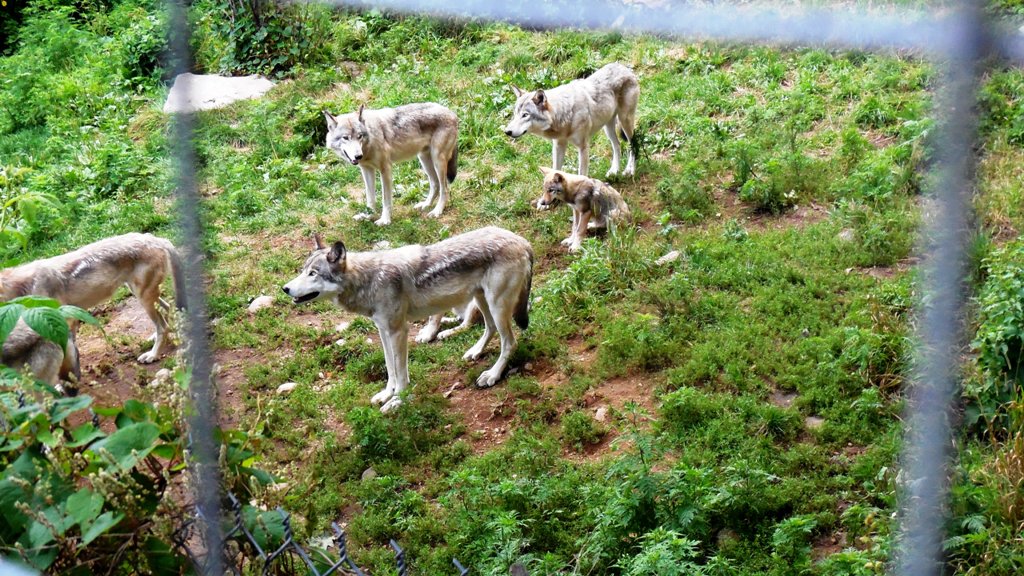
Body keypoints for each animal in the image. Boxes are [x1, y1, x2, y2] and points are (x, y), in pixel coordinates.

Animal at [0, 233, 187, 364]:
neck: (24, 287)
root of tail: (157, 238)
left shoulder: (66, 322)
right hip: (140, 294)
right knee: (168, 311)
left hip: (144, 298)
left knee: (163, 326)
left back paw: (153, 355)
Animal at [283, 227, 532, 413]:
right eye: (303, 270)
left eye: (313, 274)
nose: (285, 288)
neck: (369, 279)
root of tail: (522, 240)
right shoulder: (383, 331)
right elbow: (390, 368)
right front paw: (387, 394)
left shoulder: (398, 331)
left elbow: (401, 373)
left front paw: (398, 401)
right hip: (482, 301)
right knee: (489, 329)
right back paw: (475, 352)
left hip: (496, 306)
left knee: (510, 342)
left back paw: (492, 375)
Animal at [324, 103, 459, 226]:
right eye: (345, 138)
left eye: (359, 136)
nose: (358, 156)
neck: (370, 142)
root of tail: (452, 113)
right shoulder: (367, 170)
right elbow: (370, 197)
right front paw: (368, 216)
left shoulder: (386, 169)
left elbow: (385, 199)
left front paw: (385, 220)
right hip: (424, 160)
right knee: (435, 184)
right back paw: (426, 205)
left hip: (438, 161)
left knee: (445, 188)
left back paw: (437, 211)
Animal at [503, 62, 639, 179]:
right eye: (515, 114)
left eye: (525, 115)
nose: (507, 131)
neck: (565, 114)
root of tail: (624, 67)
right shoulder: (558, 145)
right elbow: (555, 170)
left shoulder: (583, 147)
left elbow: (582, 174)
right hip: (608, 128)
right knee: (617, 145)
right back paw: (614, 171)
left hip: (624, 121)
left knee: (633, 144)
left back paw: (630, 170)